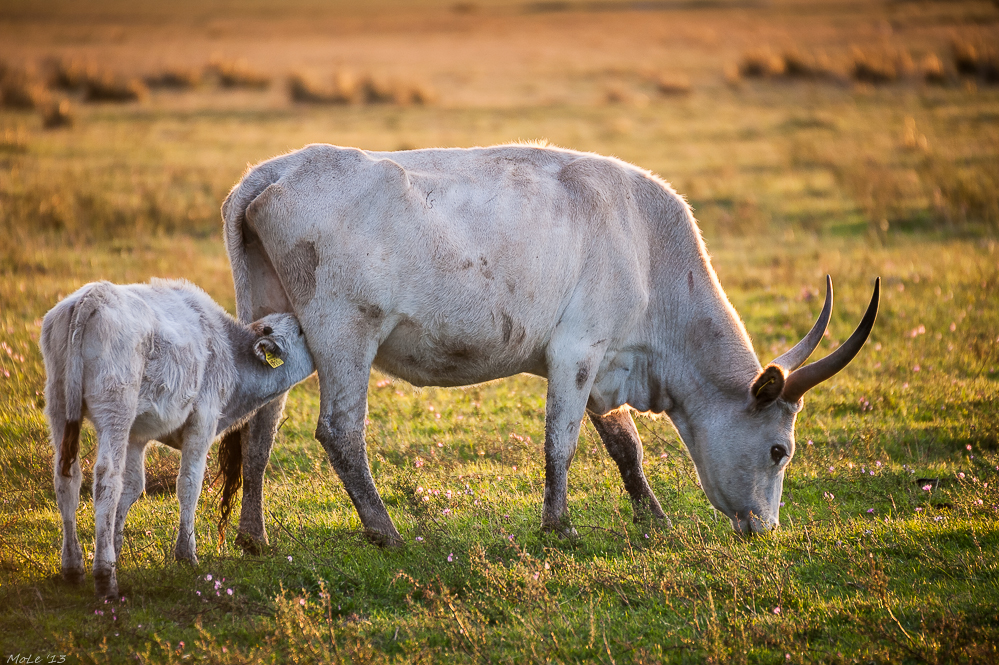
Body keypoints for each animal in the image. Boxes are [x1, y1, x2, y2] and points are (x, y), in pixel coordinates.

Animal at [41, 276, 314, 596]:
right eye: (301, 331)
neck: (230, 356)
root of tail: (96, 293)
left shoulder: (136, 436)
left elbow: (133, 486)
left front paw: (115, 546)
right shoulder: (203, 421)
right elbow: (188, 484)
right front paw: (185, 554)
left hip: (59, 404)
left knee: (67, 479)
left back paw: (73, 567)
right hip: (115, 409)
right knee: (106, 479)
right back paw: (105, 576)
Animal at [223, 143, 880, 548]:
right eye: (779, 451)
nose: (765, 528)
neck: (648, 247)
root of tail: (276, 170)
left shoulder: (605, 365)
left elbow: (625, 446)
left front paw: (654, 518)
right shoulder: (577, 352)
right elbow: (560, 443)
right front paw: (560, 527)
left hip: (280, 325)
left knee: (262, 425)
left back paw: (254, 537)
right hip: (345, 333)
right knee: (339, 431)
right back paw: (385, 531)